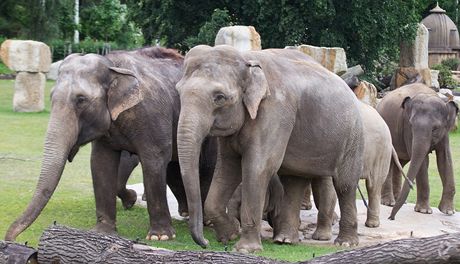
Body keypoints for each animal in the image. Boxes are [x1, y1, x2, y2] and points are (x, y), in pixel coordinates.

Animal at [5, 47, 215, 241]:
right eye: (51, 97)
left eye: (81, 100)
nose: (10, 238)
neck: (112, 65)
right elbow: (101, 163)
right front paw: (103, 230)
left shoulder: (150, 114)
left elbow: (153, 162)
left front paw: (160, 237)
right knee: (173, 166)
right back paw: (186, 213)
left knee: (204, 165)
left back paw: (203, 221)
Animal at [175, 45, 362, 254]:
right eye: (178, 92)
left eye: (220, 97)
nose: (205, 243)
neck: (247, 58)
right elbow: (227, 168)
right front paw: (229, 235)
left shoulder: (275, 111)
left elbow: (258, 167)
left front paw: (244, 249)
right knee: (294, 181)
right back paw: (285, 240)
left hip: (352, 137)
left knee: (345, 184)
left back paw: (345, 243)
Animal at [378, 83, 460, 218]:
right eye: (411, 125)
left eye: (435, 128)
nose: (391, 217)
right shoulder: (407, 130)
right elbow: (423, 162)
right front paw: (424, 211)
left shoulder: (445, 133)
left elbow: (445, 159)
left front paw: (448, 211)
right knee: (390, 161)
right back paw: (389, 202)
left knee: (400, 162)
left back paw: (400, 200)